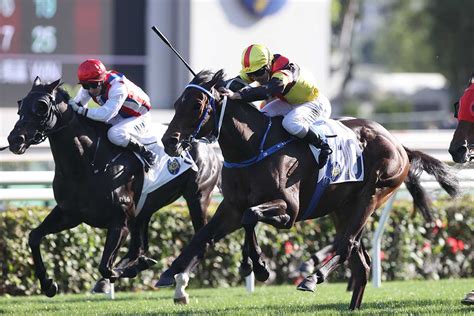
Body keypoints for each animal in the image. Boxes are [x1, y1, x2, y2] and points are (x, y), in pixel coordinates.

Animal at [6, 78, 222, 298]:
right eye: (20, 104)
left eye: (41, 106)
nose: (15, 139)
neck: (88, 163)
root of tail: (203, 141)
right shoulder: (69, 214)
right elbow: (34, 237)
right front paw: (48, 284)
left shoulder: (120, 223)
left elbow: (105, 267)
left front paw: (131, 270)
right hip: (143, 212)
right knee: (138, 248)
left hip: (197, 197)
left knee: (201, 237)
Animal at [156, 70, 460, 310]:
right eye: (177, 103)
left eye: (197, 105)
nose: (169, 141)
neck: (252, 147)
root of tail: (398, 144)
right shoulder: (230, 206)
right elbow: (206, 234)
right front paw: (170, 272)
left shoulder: (288, 211)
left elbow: (250, 216)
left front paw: (258, 266)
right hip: (343, 208)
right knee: (359, 262)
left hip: (371, 196)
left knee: (346, 245)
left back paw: (312, 277)